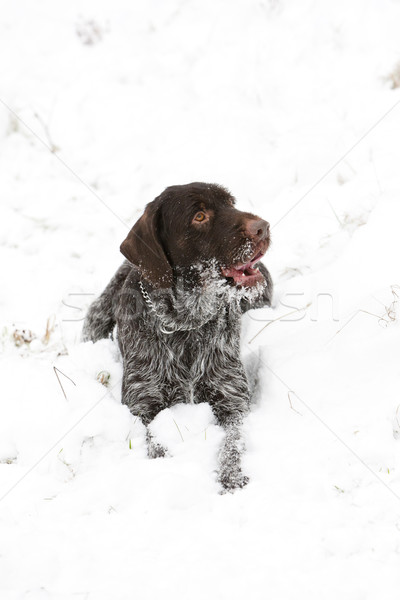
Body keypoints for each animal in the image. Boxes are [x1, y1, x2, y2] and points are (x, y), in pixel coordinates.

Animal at [82, 183, 272, 492]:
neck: (186, 324)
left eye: (231, 203)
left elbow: (233, 442)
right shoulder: (142, 404)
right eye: (199, 216)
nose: (263, 227)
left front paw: (231, 475)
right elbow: (153, 441)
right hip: (94, 321)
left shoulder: (233, 401)